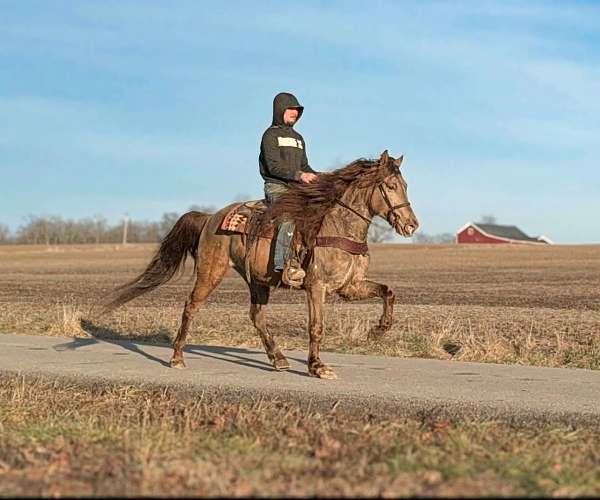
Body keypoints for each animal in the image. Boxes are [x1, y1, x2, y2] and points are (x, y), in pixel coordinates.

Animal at [103, 150, 420, 376]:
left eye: (405, 185)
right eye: (391, 185)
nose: (412, 225)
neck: (338, 225)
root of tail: (210, 218)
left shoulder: (349, 287)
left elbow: (388, 291)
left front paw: (379, 330)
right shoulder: (316, 287)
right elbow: (316, 326)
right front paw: (317, 367)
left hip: (258, 280)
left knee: (256, 316)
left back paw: (278, 359)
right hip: (211, 273)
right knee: (191, 306)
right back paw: (177, 357)